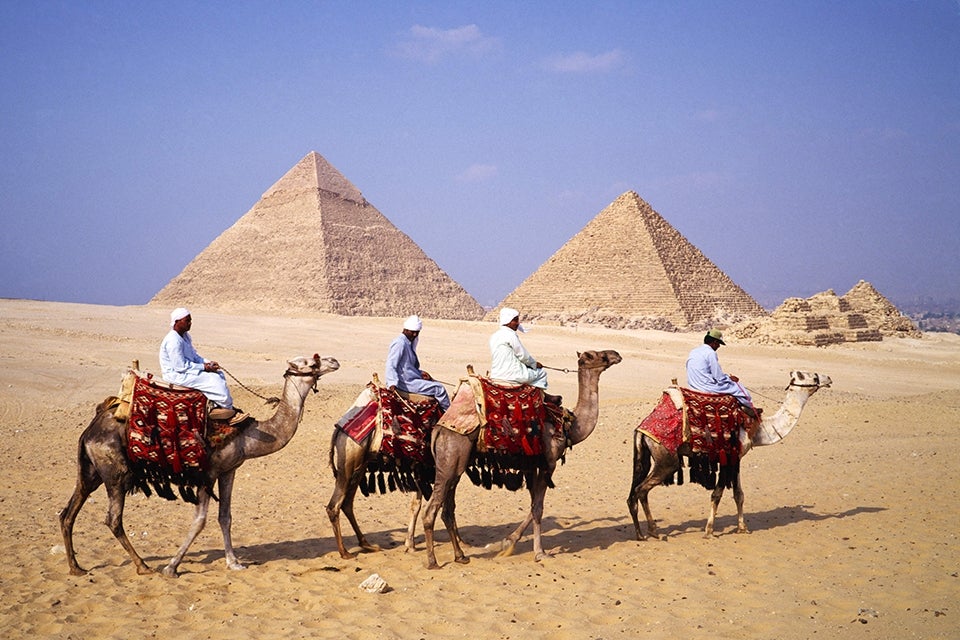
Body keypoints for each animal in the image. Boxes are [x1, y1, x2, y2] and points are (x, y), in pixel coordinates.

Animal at [58, 352, 340, 576]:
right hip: (115, 471)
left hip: (91, 470)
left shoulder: (229, 470)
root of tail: (90, 430)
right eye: (310, 362)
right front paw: (171, 567)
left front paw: (234, 562)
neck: (250, 434)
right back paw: (143, 566)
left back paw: (76, 567)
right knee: (113, 519)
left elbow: (225, 517)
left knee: (68, 512)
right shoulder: (208, 473)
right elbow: (200, 520)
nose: (334, 361)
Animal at [326, 382, 438, 556]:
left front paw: (410, 544)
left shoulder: (418, 469)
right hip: (348, 465)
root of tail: (338, 429)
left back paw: (367, 545)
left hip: (358, 467)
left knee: (347, 503)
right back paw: (345, 553)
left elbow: (416, 505)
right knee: (334, 506)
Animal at [422, 350, 624, 568]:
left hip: (455, 465)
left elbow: (533, 504)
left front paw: (508, 542)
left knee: (447, 510)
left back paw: (460, 555)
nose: (616, 354)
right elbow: (538, 508)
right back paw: (432, 561)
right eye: (596, 355)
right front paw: (539, 553)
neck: (568, 425)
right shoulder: (548, 464)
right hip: (451, 457)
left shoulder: (531, 466)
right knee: (431, 511)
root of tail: (439, 430)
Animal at [628, 370, 828, 540]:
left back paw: (640, 534)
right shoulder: (728, 455)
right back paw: (653, 531)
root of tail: (642, 429)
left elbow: (739, 493)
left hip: (644, 454)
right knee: (642, 490)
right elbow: (717, 494)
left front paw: (743, 528)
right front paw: (709, 531)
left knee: (632, 494)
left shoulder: (736, 457)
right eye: (811, 376)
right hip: (667, 460)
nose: (828, 378)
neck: (758, 429)